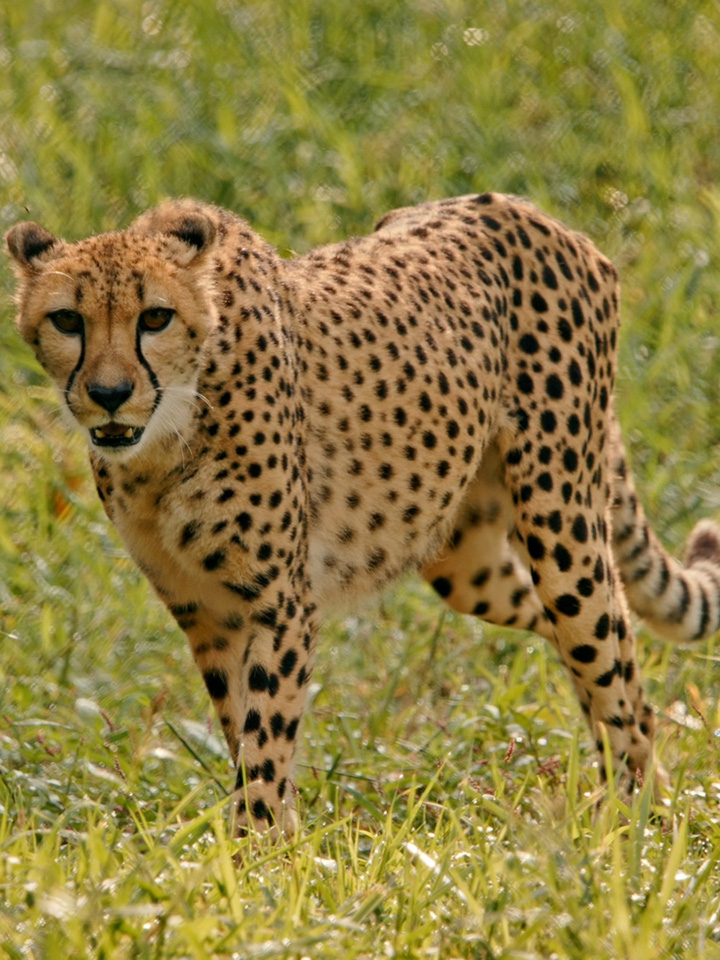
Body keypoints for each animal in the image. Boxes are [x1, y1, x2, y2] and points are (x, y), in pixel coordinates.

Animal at [5, 193, 720, 832]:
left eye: (154, 317)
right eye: (68, 321)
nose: (109, 393)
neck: (169, 436)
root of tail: (531, 211)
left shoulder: (280, 604)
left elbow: (265, 741)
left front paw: (255, 858)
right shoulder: (206, 614)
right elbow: (244, 733)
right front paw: (275, 845)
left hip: (561, 524)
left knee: (608, 650)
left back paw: (633, 819)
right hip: (464, 561)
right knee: (599, 646)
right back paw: (646, 792)